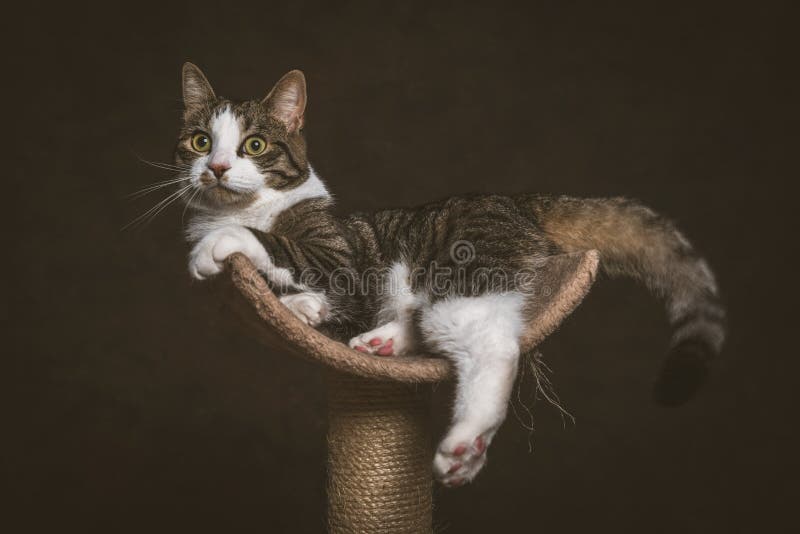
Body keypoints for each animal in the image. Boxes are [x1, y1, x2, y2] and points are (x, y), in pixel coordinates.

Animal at [177, 63, 724, 490]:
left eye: (254, 145)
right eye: (201, 142)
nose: (217, 167)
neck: (248, 208)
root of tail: (513, 202)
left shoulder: (340, 260)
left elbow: (283, 249)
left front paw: (218, 247)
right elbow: (308, 301)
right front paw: (297, 306)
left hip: (460, 274)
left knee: (494, 345)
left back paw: (465, 442)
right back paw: (385, 345)